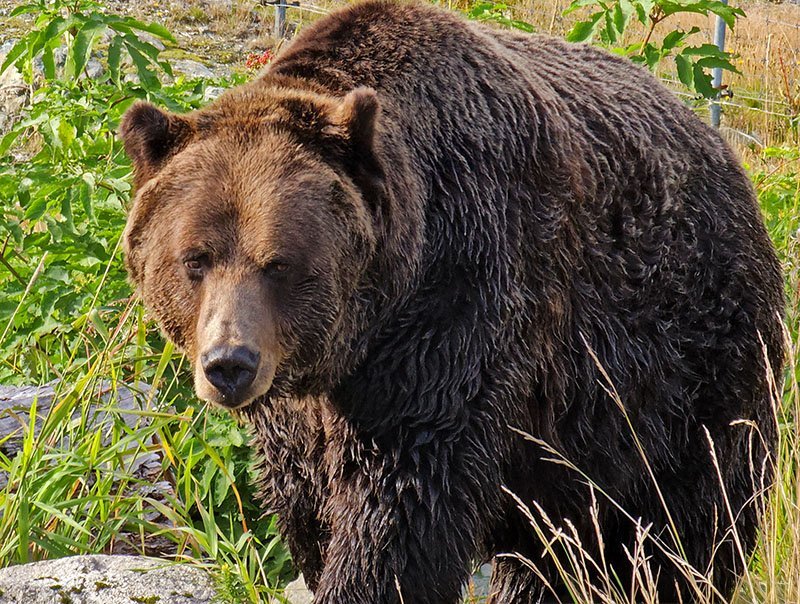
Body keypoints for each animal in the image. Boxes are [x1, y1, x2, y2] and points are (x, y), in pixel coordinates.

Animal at [120, 2, 788, 600]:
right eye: (194, 259)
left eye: (278, 263)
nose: (229, 364)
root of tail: (728, 159)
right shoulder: (299, 414)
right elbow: (306, 502)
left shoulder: (459, 307)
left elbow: (405, 500)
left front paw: (367, 579)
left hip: (683, 371)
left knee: (688, 525)